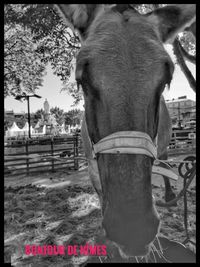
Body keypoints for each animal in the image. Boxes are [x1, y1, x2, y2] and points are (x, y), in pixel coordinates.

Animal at [54, 4, 195, 260]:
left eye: (167, 80)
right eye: (81, 79)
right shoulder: (94, 173)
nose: (133, 227)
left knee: (165, 162)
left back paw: (170, 196)